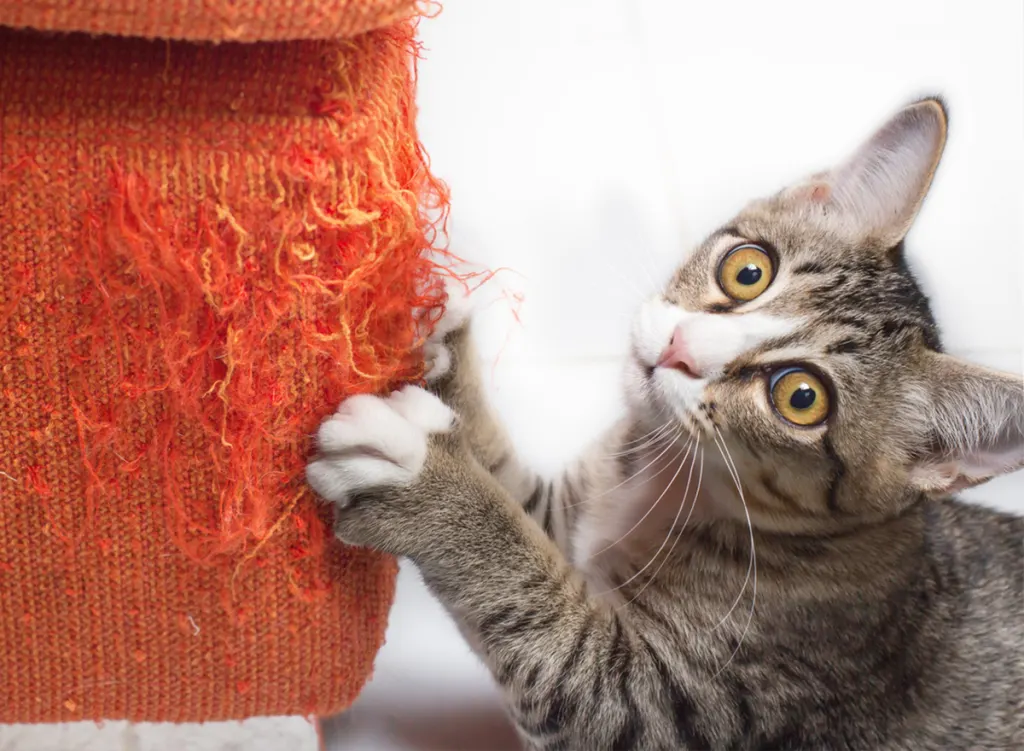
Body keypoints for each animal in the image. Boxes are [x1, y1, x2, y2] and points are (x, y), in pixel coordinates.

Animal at [305, 99, 1024, 749]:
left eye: (800, 397)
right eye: (747, 268)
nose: (681, 348)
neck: (666, 476)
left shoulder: (653, 702)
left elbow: (549, 630)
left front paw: (426, 478)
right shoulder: (570, 514)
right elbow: (522, 502)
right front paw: (437, 328)